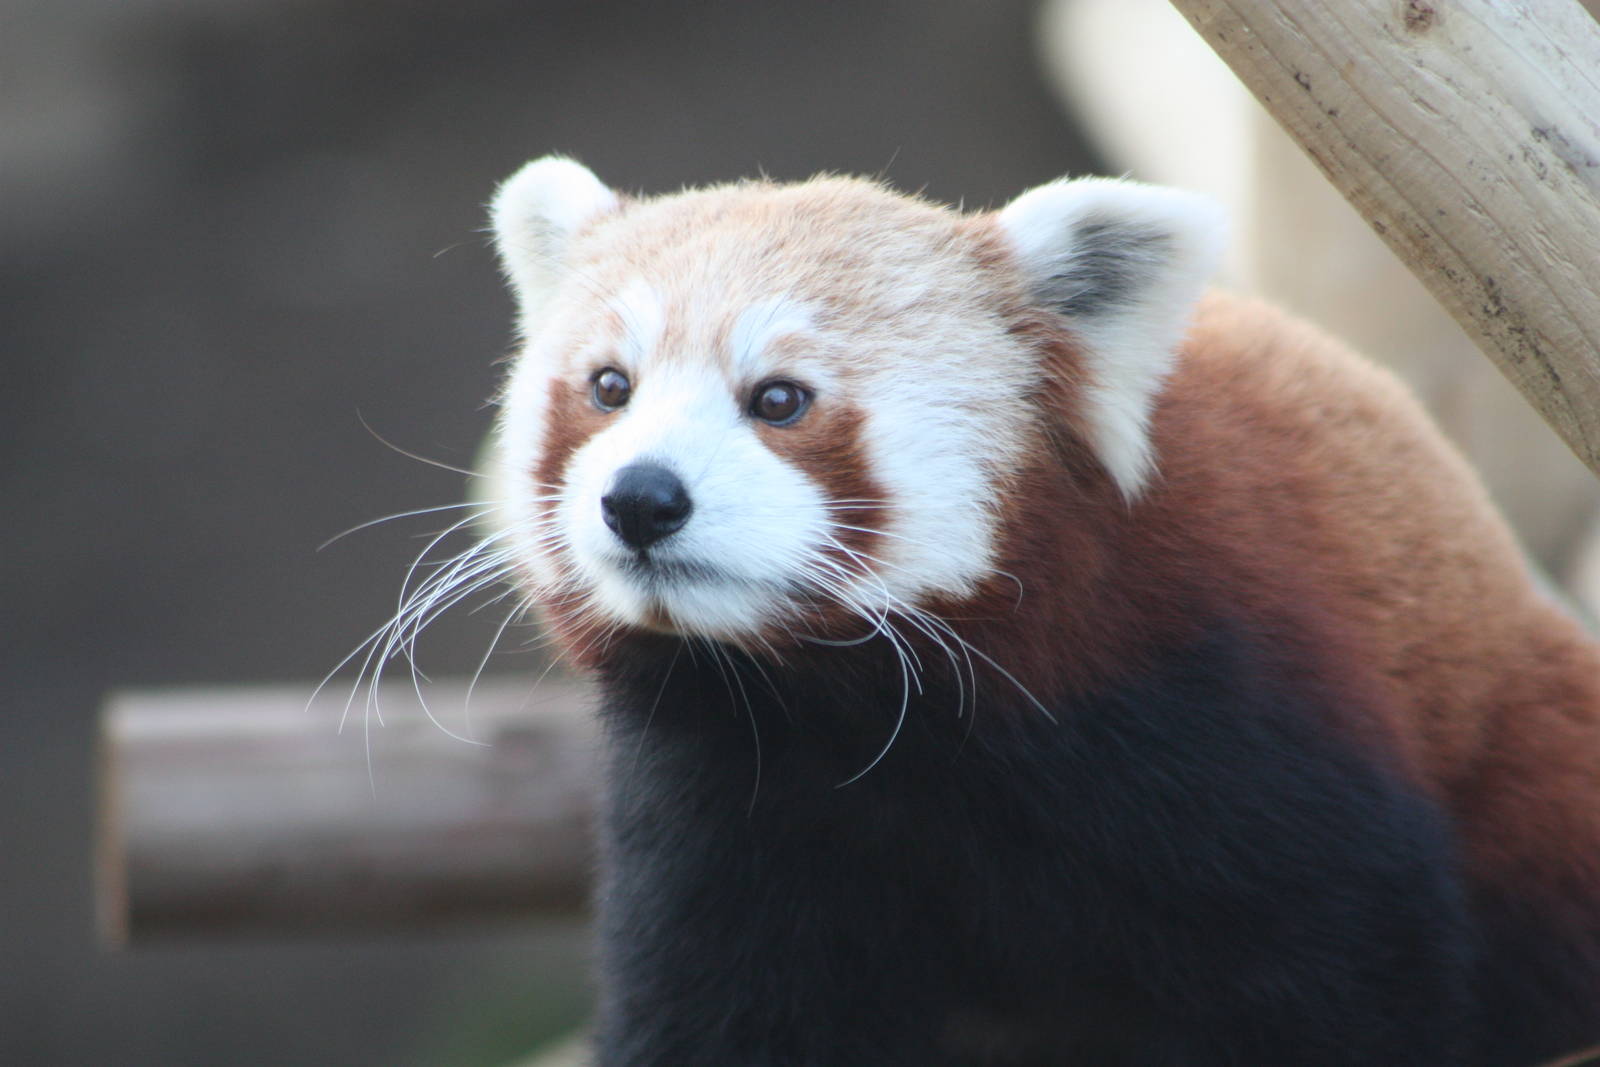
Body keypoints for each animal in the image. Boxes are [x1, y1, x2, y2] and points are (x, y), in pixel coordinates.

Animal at [479, 156, 1600, 1065]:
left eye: (780, 399)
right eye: (608, 387)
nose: (640, 498)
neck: (861, 713)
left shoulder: (1228, 700)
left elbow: (1342, 967)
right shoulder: (724, 798)